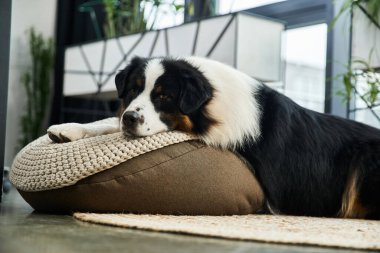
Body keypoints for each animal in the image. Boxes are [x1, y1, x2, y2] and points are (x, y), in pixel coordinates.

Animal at [48, 56, 380, 218]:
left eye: (164, 97)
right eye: (132, 90)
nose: (130, 118)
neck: (212, 100)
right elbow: (106, 123)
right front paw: (68, 128)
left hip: (366, 158)